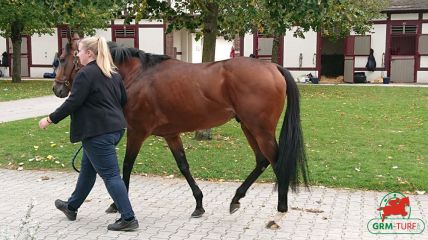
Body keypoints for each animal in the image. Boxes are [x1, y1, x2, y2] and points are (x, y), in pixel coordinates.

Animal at [52, 40, 308, 227]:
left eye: (62, 59)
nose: (57, 88)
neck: (138, 75)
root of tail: (273, 67)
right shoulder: (171, 134)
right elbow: (184, 166)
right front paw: (199, 205)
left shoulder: (137, 132)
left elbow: (126, 166)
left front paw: (116, 206)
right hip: (248, 127)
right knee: (262, 160)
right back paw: (236, 199)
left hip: (259, 129)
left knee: (277, 162)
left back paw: (279, 212)